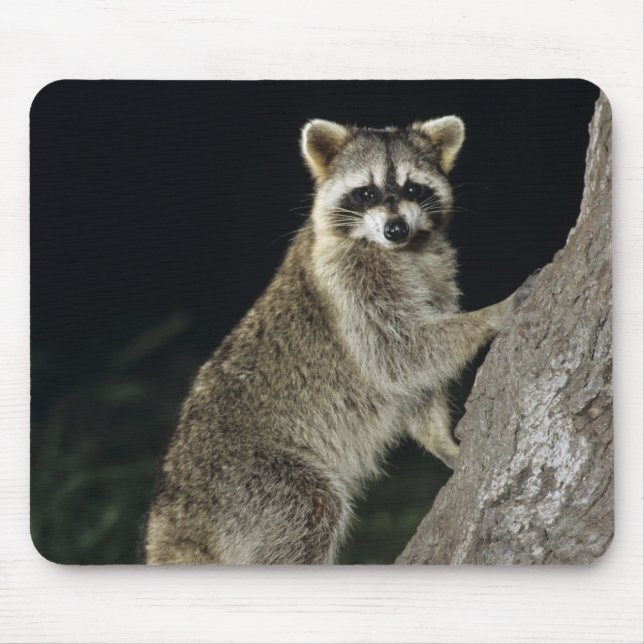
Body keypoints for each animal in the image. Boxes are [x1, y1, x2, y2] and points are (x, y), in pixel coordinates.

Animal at [144, 116, 533, 565]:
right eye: (366, 193)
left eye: (414, 189)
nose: (396, 228)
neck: (402, 252)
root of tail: (171, 517)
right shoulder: (348, 288)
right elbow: (398, 355)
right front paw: (492, 314)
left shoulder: (436, 276)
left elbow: (415, 380)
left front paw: (440, 439)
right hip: (251, 478)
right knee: (310, 507)